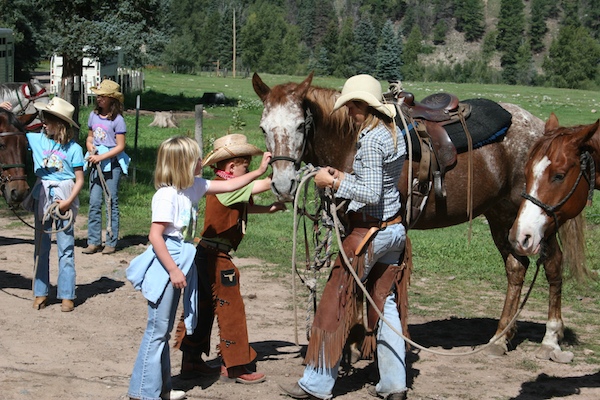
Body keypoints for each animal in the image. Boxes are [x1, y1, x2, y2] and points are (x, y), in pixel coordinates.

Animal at [252, 72, 592, 362]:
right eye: (263, 128)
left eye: (300, 125)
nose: (283, 184)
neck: (351, 140)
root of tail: (541, 129)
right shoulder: (350, 224)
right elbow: (356, 276)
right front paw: (356, 338)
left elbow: (363, 278)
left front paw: (358, 342)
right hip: (502, 215)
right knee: (516, 267)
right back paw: (499, 339)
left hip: (538, 218)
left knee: (552, 265)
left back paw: (550, 340)